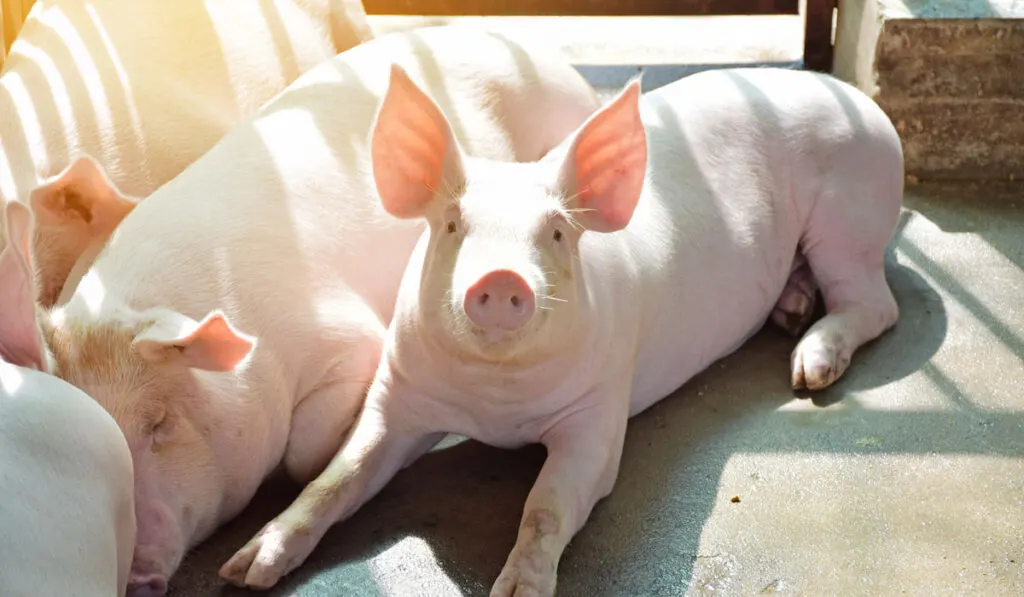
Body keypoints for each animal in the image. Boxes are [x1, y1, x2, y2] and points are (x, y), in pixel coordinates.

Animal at [251, 67, 901, 593]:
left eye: (557, 231)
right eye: (453, 225)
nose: (501, 277)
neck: (496, 405)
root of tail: (858, 101)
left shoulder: (599, 413)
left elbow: (546, 506)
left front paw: (517, 591)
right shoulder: (397, 395)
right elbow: (336, 478)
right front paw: (249, 568)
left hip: (851, 216)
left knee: (878, 304)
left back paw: (808, 370)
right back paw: (791, 312)